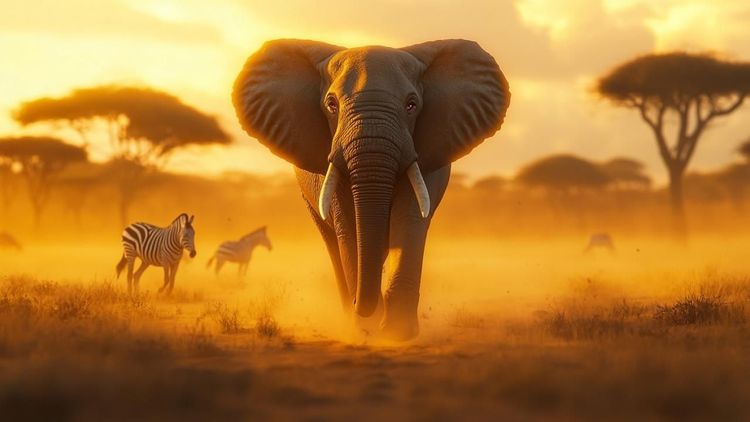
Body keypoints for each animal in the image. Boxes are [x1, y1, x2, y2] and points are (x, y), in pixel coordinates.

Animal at [232, 39, 510, 340]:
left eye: (412, 104)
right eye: (331, 104)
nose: (362, 306)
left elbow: (409, 219)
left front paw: (397, 332)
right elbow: (348, 228)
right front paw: (367, 329)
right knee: (333, 242)